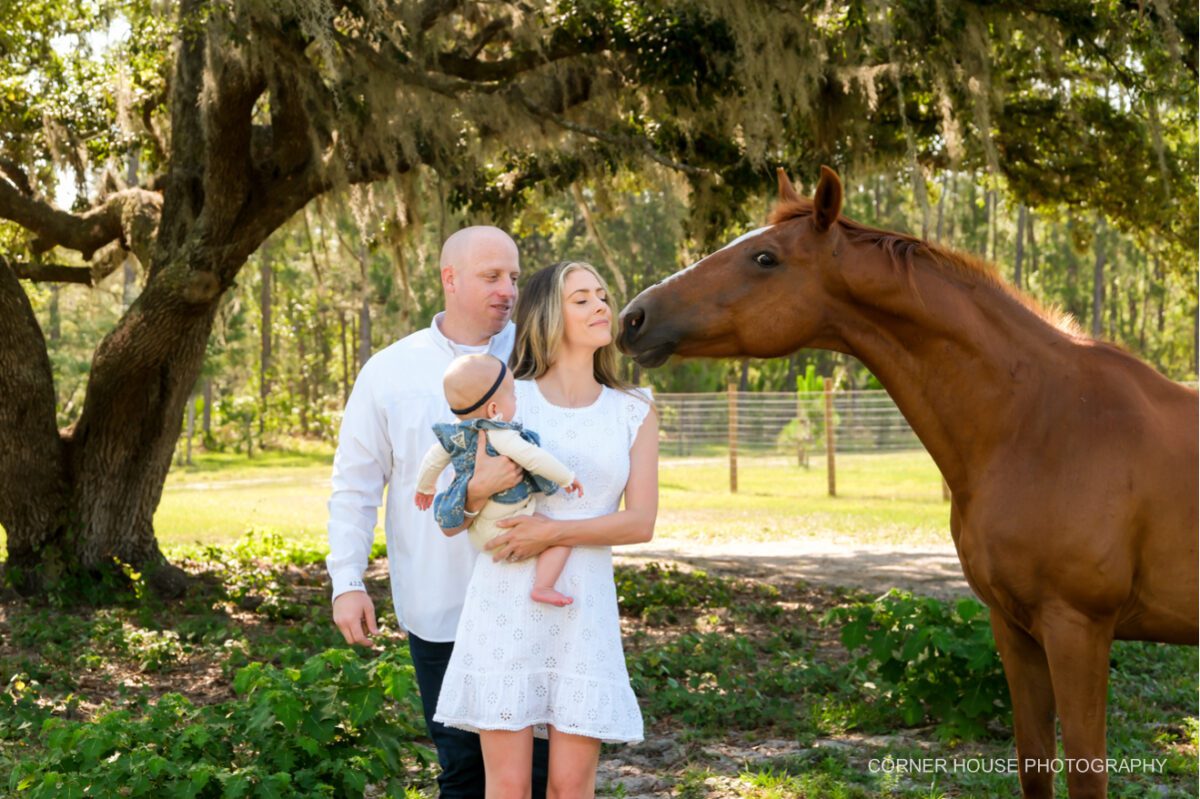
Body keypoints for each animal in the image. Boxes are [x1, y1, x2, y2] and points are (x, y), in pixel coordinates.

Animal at [619, 164, 1200, 791]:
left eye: (765, 257)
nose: (633, 318)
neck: (1044, 421)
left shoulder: (1078, 630)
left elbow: (1087, 773)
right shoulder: (1015, 631)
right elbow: (1034, 766)